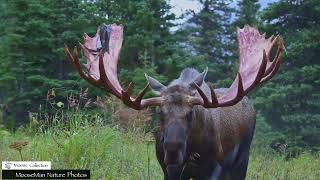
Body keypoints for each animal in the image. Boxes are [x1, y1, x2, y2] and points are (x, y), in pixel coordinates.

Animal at [64, 23, 282, 179]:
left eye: (191, 113)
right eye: (159, 113)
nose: (172, 149)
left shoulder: (215, 168)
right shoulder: (169, 169)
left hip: (242, 160)